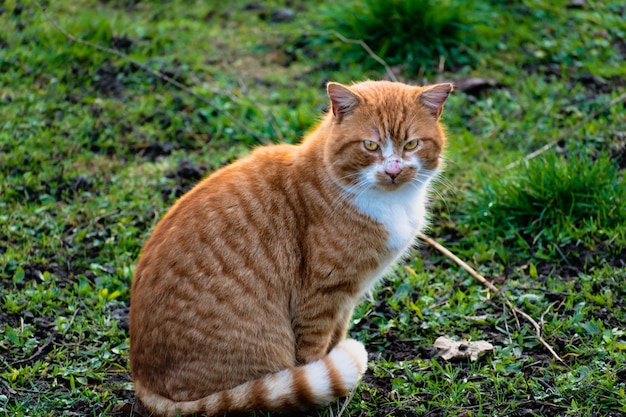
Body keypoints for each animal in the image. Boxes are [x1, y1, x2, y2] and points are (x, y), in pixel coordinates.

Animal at [129, 79, 450, 414]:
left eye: (411, 144)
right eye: (370, 146)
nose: (393, 171)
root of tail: (143, 382)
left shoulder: (347, 296)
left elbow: (337, 336)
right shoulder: (320, 296)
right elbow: (313, 352)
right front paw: (322, 386)